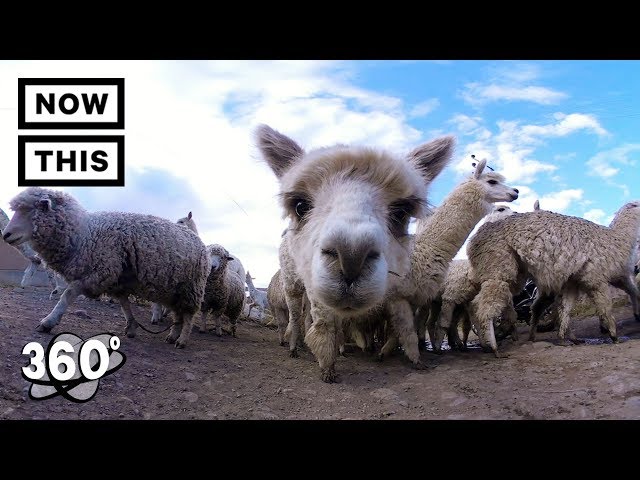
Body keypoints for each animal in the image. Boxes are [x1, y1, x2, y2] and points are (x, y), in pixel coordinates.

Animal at [1, 186, 208, 346]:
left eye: (30, 210)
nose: (6, 235)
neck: (84, 235)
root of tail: (198, 240)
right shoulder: (115, 277)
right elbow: (124, 303)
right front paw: (131, 326)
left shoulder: (98, 272)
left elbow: (68, 294)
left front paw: (48, 321)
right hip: (175, 289)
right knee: (178, 315)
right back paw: (172, 336)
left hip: (191, 287)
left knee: (189, 315)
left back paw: (182, 340)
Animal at [255, 124, 456, 382]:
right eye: (300, 206)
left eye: (401, 212)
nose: (351, 258)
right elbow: (326, 324)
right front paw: (327, 367)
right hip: (292, 282)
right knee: (295, 314)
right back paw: (293, 347)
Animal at [380, 159, 520, 366]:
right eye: (492, 181)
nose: (515, 191)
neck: (419, 251)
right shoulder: (401, 295)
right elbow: (411, 328)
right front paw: (419, 358)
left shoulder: (417, 295)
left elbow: (404, 329)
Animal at [464, 201, 640, 354]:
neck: (616, 239)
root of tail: (474, 239)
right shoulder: (597, 277)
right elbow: (606, 307)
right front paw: (614, 335)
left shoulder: (574, 281)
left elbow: (566, 308)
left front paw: (563, 338)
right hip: (498, 265)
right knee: (484, 306)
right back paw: (494, 347)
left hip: (512, 271)